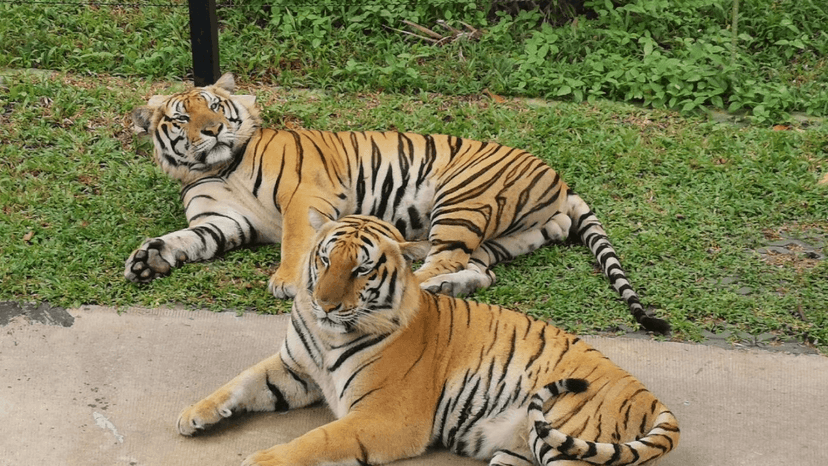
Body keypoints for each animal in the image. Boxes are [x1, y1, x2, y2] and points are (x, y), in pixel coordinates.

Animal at [126, 73, 669, 334]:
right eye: (182, 118)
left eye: (215, 107)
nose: (214, 131)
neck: (214, 166)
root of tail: (560, 179)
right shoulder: (223, 220)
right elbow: (187, 240)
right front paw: (148, 259)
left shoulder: (305, 194)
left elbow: (297, 240)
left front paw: (285, 281)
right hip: (499, 238)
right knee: (477, 271)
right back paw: (443, 285)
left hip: (461, 196)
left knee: (440, 262)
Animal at [176, 212, 680, 466]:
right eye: (324, 259)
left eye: (361, 269)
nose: (325, 305)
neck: (327, 336)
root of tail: (653, 399)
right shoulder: (295, 368)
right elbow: (239, 383)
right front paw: (193, 415)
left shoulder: (386, 416)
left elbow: (317, 440)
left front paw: (262, 461)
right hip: (521, 451)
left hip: (563, 443)